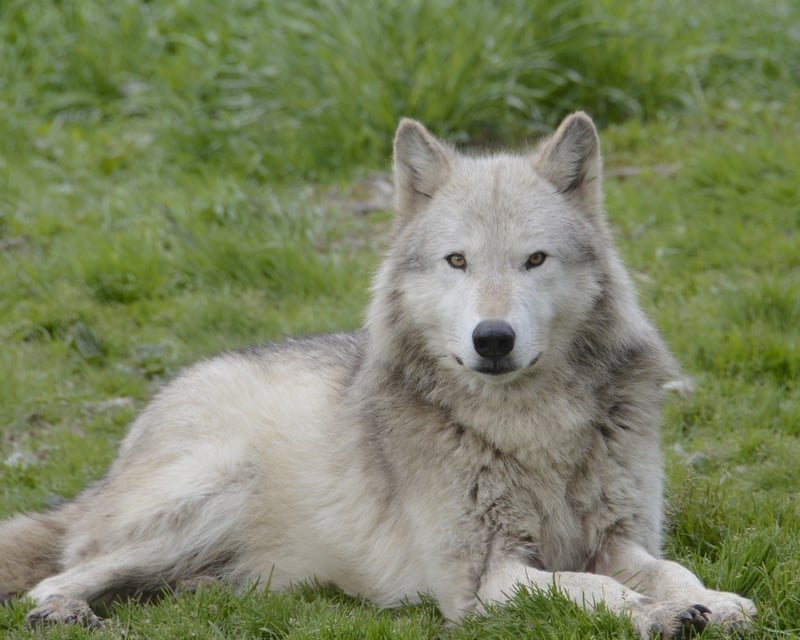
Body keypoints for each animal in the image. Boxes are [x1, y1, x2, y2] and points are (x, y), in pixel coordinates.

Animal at [0, 113, 755, 638]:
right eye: (457, 261)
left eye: (535, 259)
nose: (493, 338)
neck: (529, 428)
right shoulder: (484, 578)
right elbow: (593, 590)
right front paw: (656, 615)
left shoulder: (621, 538)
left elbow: (672, 570)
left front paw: (711, 601)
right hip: (217, 488)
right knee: (56, 577)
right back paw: (65, 612)